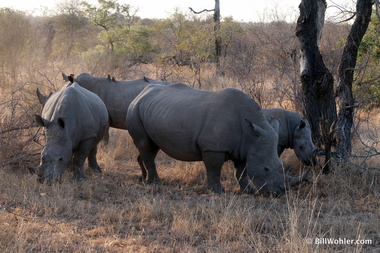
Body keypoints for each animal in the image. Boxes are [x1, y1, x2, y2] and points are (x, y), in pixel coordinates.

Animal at [126, 83, 308, 196]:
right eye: (266, 169)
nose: (278, 194)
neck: (250, 135)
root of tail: (141, 93)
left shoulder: (245, 148)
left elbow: (242, 172)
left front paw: (247, 191)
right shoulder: (213, 147)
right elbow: (214, 169)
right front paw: (217, 191)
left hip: (153, 110)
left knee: (152, 146)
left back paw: (146, 179)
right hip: (134, 109)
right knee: (144, 144)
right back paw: (155, 183)